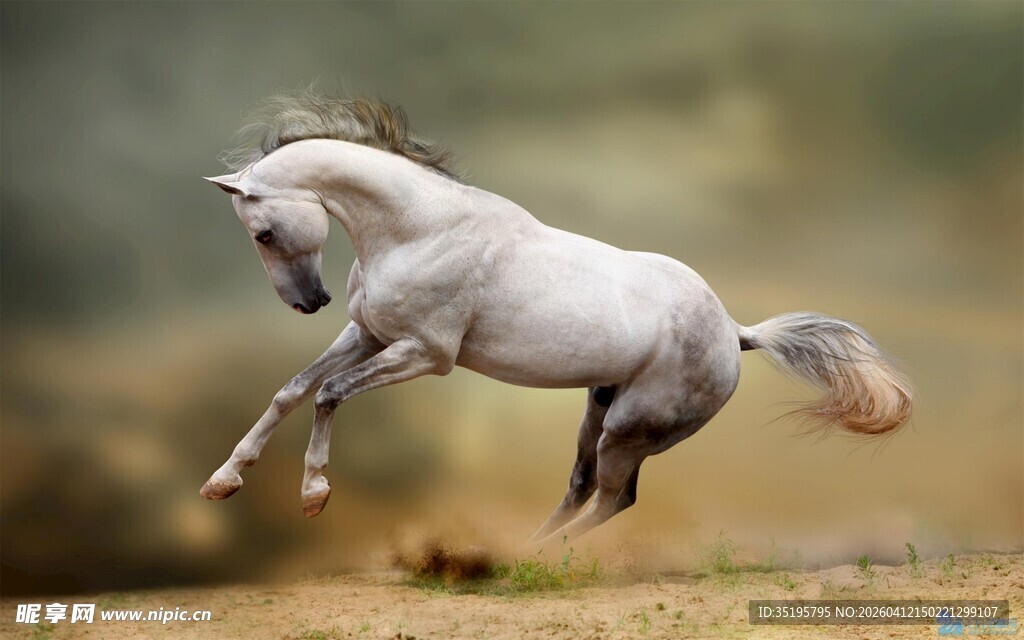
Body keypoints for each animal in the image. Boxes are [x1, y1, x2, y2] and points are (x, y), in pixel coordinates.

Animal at [200, 91, 912, 545]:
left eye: (263, 232)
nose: (309, 302)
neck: (420, 229)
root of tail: (736, 334)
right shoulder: (370, 333)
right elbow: (293, 389)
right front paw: (223, 482)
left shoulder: (426, 354)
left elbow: (328, 392)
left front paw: (313, 495)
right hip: (598, 410)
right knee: (580, 486)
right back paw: (523, 556)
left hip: (630, 428)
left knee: (614, 497)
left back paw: (547, 561)